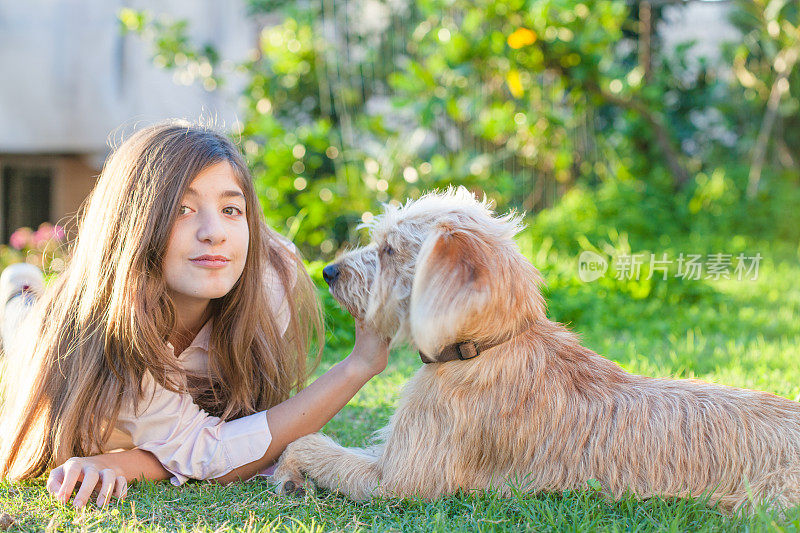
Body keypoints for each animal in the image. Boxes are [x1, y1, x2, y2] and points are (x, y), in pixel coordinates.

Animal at [274, 186, 800, 512]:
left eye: (388, 250)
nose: (328, 272)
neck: (485, 346)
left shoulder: (401, 480)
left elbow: (316, 444)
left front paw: (290, 466)